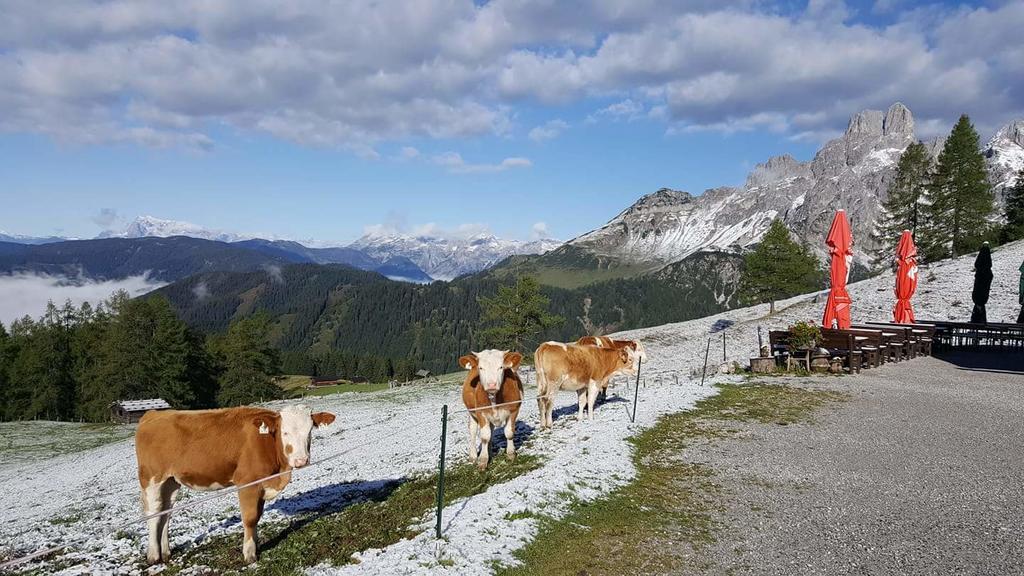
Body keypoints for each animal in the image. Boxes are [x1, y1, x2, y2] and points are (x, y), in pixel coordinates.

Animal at [135, 403, 335, 561]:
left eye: (309, 431)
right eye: (284, 432)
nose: (301, 460)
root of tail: (154, 414)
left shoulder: (262, 483)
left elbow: (257, 516)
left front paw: (255, 545)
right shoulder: (247, 482)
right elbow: (250, 518)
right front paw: (249, 554)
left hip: (170, 481)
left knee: (165, 513)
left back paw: (166, 553)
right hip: (151, 478)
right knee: (153, 513)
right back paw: (153, 556)